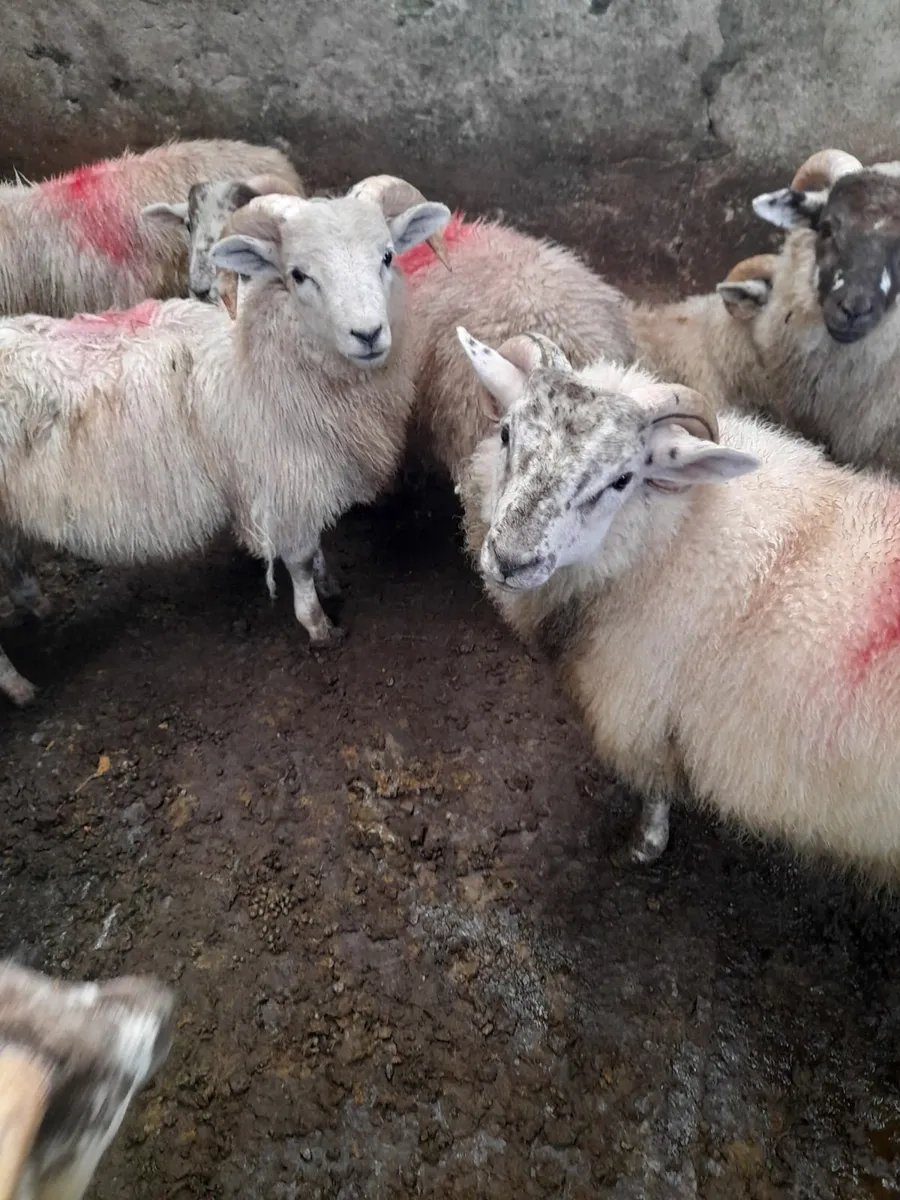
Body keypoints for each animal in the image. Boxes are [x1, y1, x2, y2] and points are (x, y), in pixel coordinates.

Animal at [0, 178, 450, 705]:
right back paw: (19, 686)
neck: (258, 361)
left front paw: (329, 584)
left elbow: (314, 544)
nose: (369, 333)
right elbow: (297, 560)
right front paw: (318, 625)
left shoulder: (300, 479)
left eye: (386, 256)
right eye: (298, 275)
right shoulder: (281, 481)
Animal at [454, 324, 900, 881]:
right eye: (507, 433)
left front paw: (645, 845)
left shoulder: (640, 714)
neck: (669, 533)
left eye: (622, 480)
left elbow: (655, 789)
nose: (511, 559)